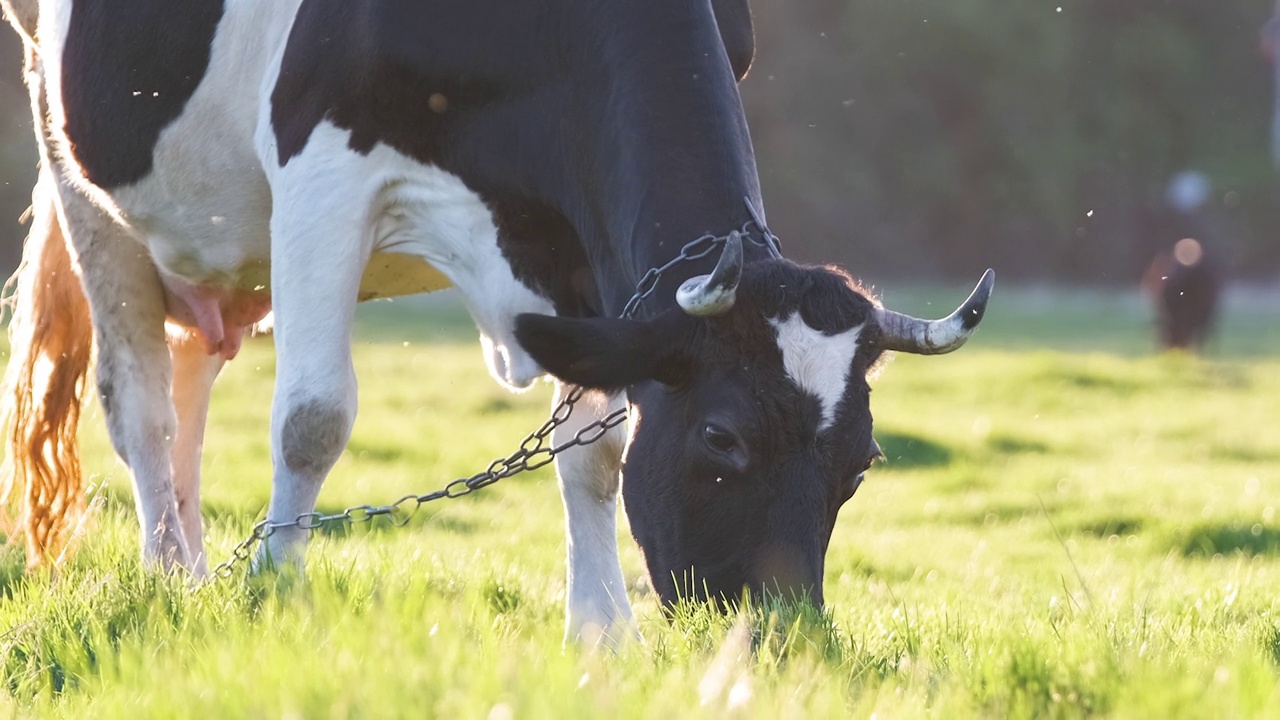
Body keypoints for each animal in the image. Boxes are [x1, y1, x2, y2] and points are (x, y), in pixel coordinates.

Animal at [0, 0, 993, 638]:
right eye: (722, 439)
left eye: (861, 462)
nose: (783, 633)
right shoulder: (323, 170)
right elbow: (312, 419)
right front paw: (276, 590)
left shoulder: (578, 238)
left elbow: (597, 449)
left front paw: (602, 634)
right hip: (79, 166)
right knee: (141, 404)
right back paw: (169, 575)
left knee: (191, 381)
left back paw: (195, 572)